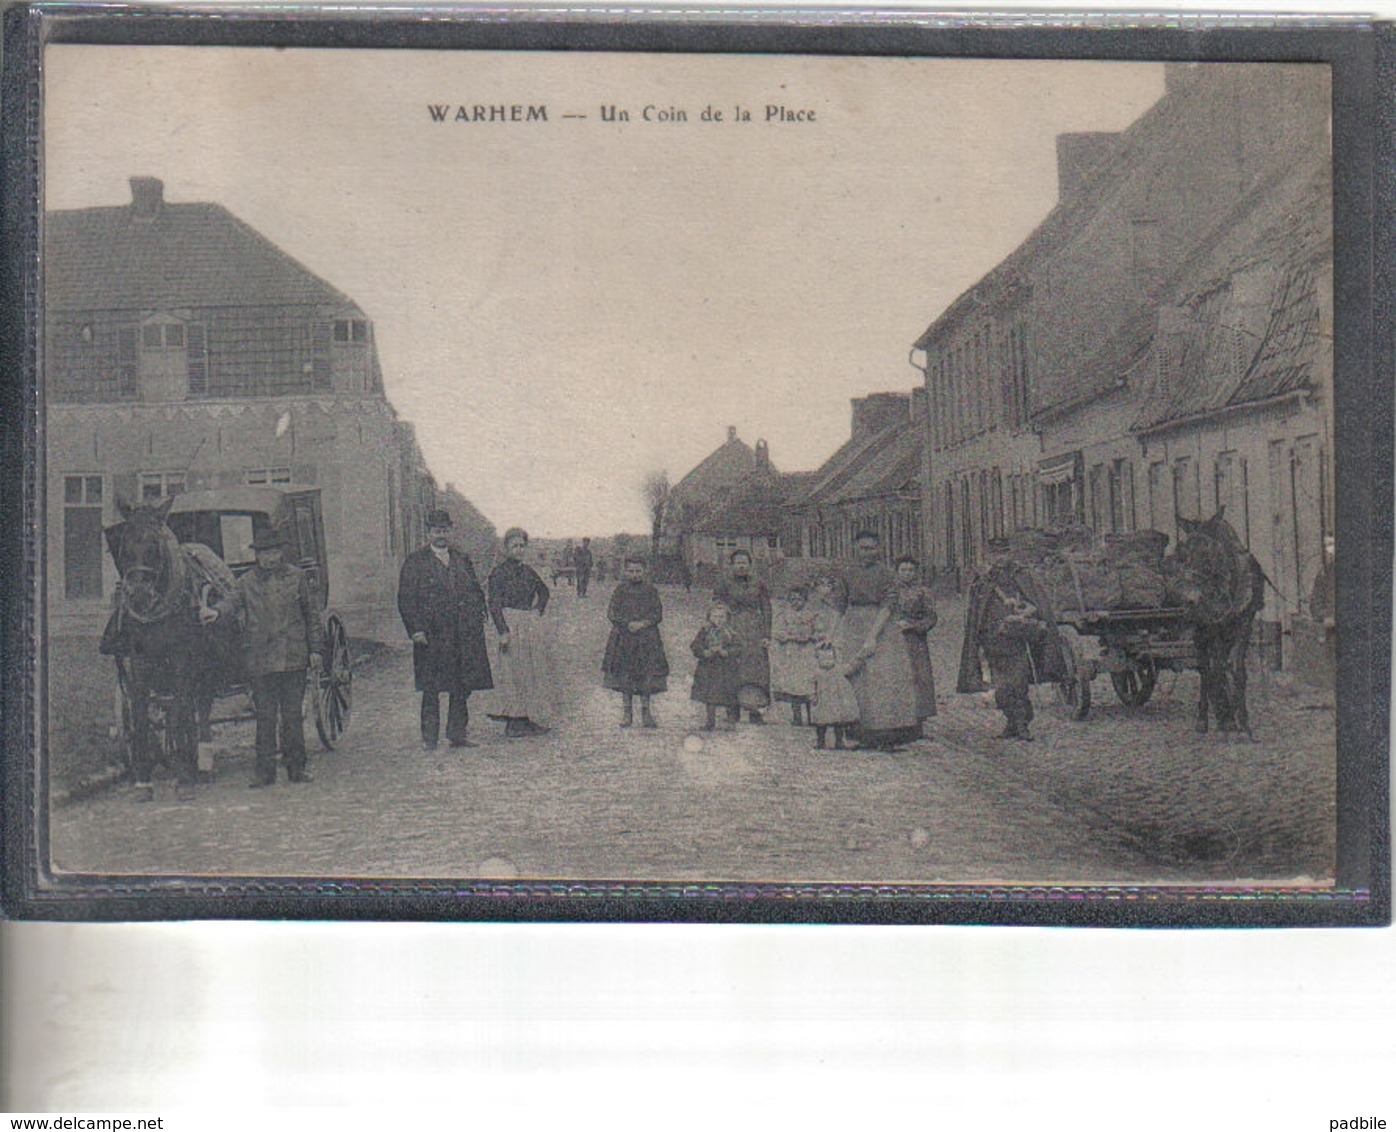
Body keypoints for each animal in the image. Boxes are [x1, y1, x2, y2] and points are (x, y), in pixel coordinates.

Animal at [98, 499, 237, 803]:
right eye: (124, 544)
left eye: (155, 544)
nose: (138, 594)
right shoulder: (139, 665)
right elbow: (140, 715)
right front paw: (143, 780)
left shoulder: (183, 663)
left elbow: (180, 712)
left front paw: (183, 776)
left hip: (206, 667)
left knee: (200, 708)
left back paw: (201, 761)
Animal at [1172, 508, 1273, 736]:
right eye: (1182, 554)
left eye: (1208, 552)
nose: (1187, 599)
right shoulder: (1212, 629)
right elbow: (1215, 670)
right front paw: (1225, 717)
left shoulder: (1244, 625)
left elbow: (1236, 668)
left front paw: (1242, 720)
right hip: (1201, 635)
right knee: (1205, 669)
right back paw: (1205, 718)